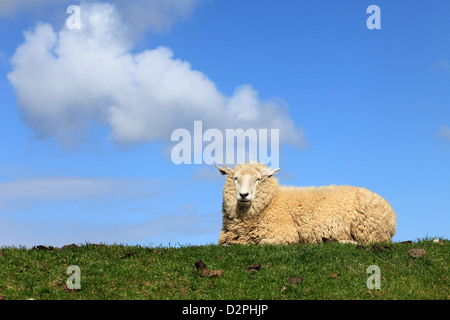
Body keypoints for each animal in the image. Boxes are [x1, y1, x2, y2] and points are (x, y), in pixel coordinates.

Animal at [216, 162, 396, 245]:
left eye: (258, 179)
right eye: (235, 178)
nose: (243, 195)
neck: (270, 203)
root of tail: (392, 214)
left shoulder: (284, 234)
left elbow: (260, 243)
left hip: (369, 232)